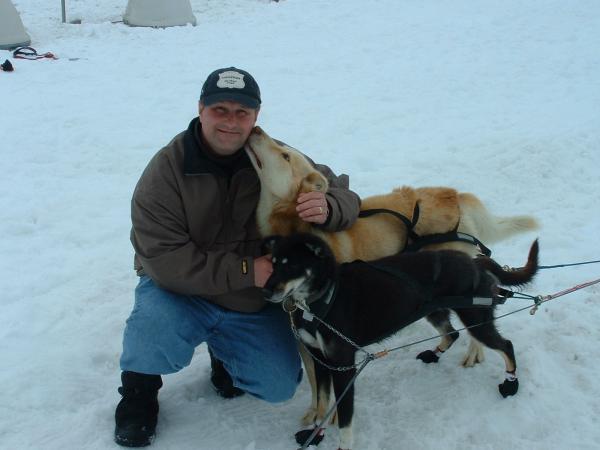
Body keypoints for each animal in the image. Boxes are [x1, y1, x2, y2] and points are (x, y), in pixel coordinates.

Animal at [244, 126, 540, 428]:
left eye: (285, 155)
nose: (256, 128)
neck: (296, 230)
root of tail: (453, 195)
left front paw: (333, 417)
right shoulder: (305, 339)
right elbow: (317, 384)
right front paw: (315, 413)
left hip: (463, 295)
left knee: (477, 328)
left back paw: (474, 352)